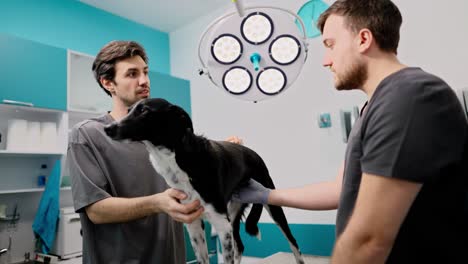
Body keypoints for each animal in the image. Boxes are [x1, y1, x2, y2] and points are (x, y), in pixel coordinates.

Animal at [104, 97, 306, 264]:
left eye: (144, 111)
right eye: (129, 110)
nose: (107, 128)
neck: (178, 159)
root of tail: (253, 153)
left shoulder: (221, 224)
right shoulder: (193, 224)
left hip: (270, 204)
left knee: (293, 242)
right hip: (232, 213)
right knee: (240, 245)